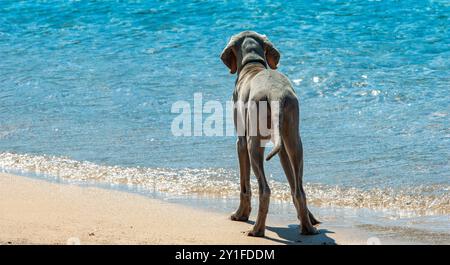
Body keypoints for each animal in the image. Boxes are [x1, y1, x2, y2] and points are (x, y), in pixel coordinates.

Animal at [220, 30, 318, 235]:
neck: (253, 65)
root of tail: (276, 95)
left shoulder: (241, 142)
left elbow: (244, 184)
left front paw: (240, 214)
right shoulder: (281, 148)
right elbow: (292, 183)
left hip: (253, 144)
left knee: (264, 189)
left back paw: (257, 229)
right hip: (293, 139)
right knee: (299, 189)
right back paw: (307, 228)